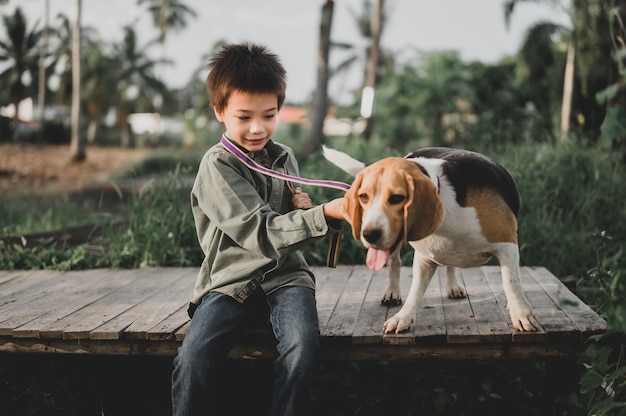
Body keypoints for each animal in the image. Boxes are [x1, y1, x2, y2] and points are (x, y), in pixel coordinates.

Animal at [322, 145, 536, 334]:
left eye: (397, 198)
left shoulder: (507, 244)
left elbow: (511, 282)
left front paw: (521, 314)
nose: (369, 234)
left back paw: (453, 285)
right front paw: (403, 318)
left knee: (451, 264)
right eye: (363, 197)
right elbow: (415, 292)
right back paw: (392, 291)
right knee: (395, 263)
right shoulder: (424, 258)